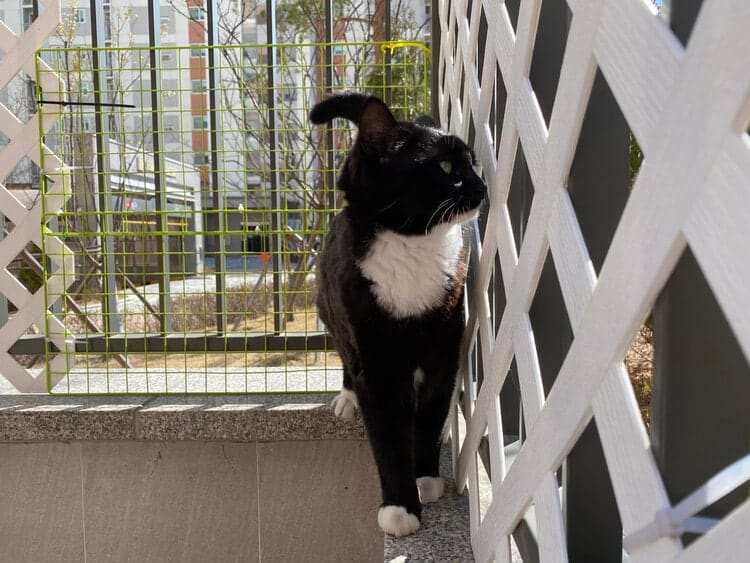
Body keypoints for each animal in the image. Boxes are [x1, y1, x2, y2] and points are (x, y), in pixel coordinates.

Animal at [310, 93, 488, 536]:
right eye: (445, 167)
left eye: (472, 161)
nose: (482, 186)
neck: (413, 245)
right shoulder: (376, 364)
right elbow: (387, 438)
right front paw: (400, 507)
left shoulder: (443, 351)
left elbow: (429, 418)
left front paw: (425, 476)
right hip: (333, 313)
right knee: (345, 356)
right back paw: (346, 397)